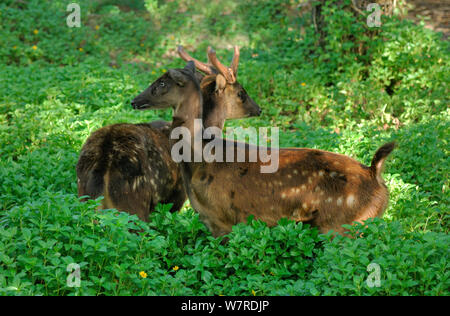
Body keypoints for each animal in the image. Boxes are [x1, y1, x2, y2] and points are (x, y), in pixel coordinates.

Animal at [77, 45, 260, 222]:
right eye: (241, 93)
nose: (259, 109)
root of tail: (102, 169)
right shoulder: (178, 193)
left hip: (83, 195)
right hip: (134, 203)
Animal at [132, 55, 396, 236]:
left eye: (163, 83)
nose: (135, 100)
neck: (200, 158)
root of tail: (376, 174)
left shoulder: (221, 219)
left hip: (342, 224)